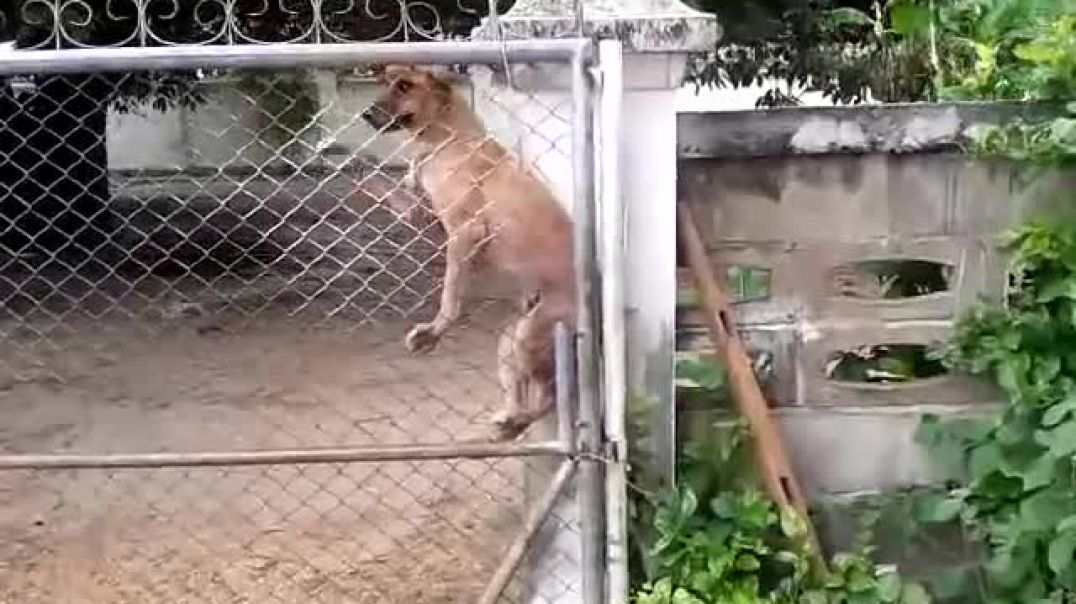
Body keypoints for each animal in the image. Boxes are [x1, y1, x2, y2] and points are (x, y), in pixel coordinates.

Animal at [361, 65, 576, 441]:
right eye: (383, 83)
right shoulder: (426, 215)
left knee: (549, 396)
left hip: (530, 334)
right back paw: (511, 420)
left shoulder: (464, 234)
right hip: (511, 342)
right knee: (527, 390)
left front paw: (434, 331)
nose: (367, 114)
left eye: (405, 86)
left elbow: (451, 295)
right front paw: (372, 181)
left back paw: (517, 420)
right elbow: (399, 195)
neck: (448, 140)